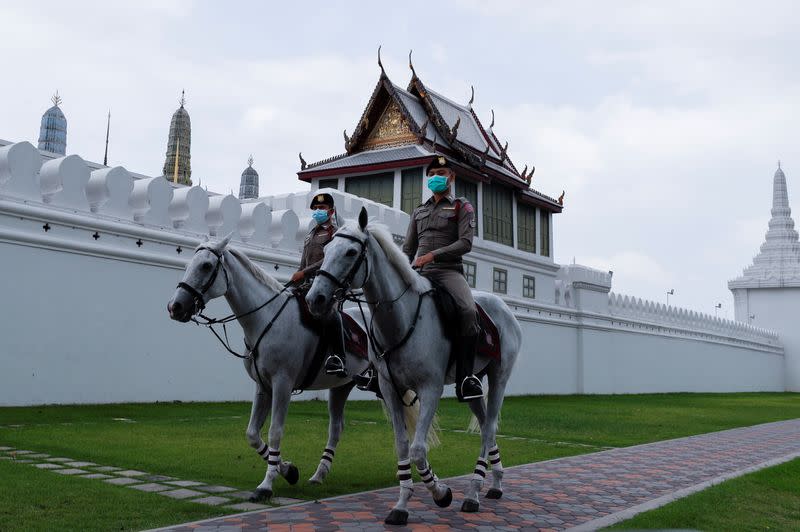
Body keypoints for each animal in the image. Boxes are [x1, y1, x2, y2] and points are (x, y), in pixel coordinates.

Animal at [167, 237, 374, 502]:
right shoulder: (262, 385)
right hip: (342, 385)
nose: (175, 306)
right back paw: (319, 474)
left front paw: (266, 485)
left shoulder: (282, 384)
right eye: (188, 264)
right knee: (336, 428)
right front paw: (288, 471)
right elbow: (252, 434)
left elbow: (275, 431)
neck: (267, 319)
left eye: (205, 266)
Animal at [304, 207, 520, 524]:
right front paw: (401, 505)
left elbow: (418, 450)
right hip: (470, 383)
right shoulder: (390, 389)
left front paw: (441, 493)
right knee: (483, 426)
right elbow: (402, 446)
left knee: (490, 427)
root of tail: (503, 307)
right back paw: (495, 482)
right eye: (327, 249)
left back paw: (473, 493)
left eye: (351, 251)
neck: (401, 317)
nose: (315, 298)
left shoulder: (429, 388)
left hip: (500, 377)